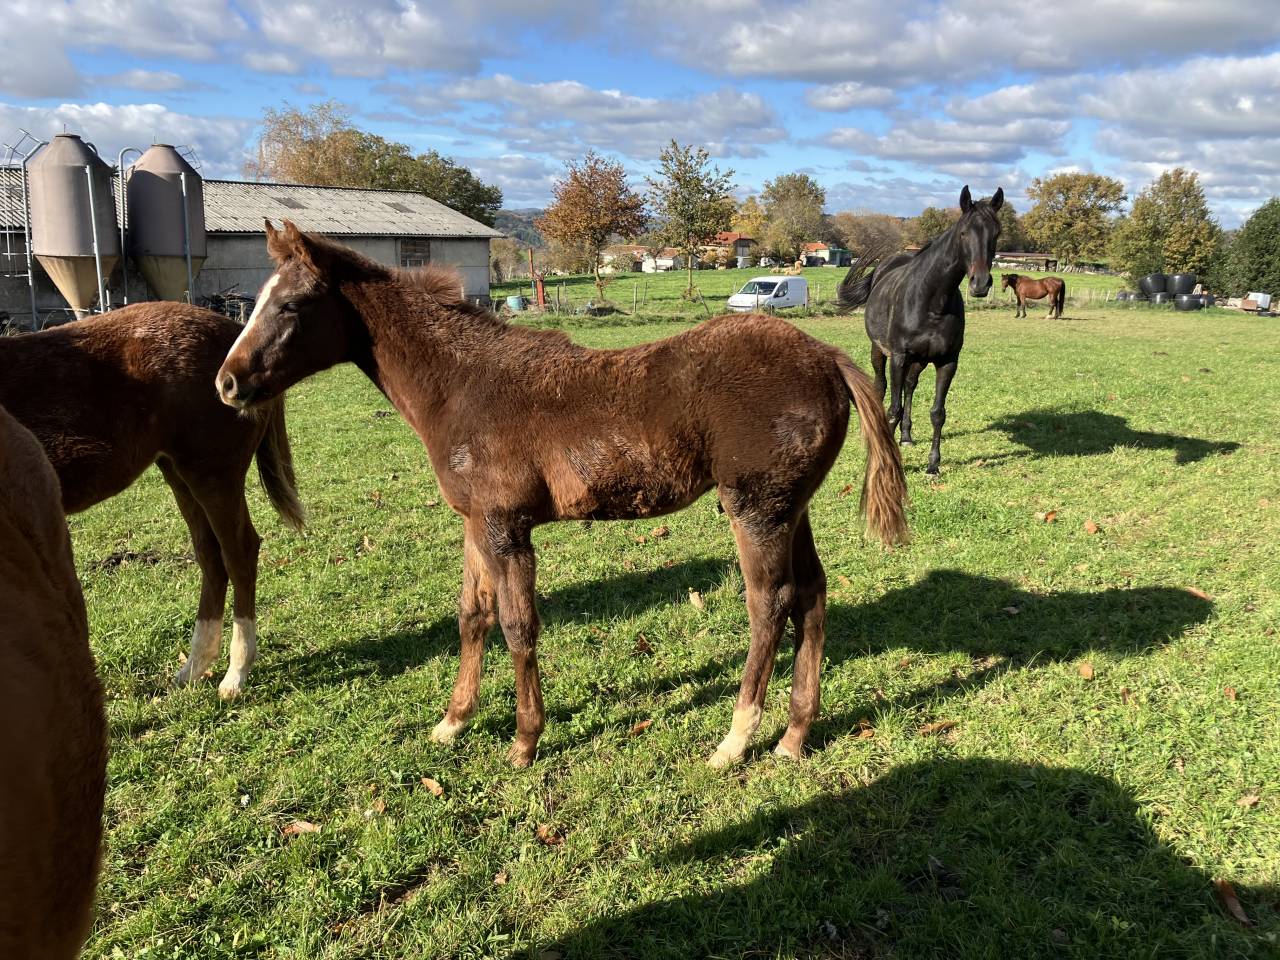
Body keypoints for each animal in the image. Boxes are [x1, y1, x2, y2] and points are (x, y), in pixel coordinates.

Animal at [0, 302, 305, 699]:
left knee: (238, 551)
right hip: (178, 473)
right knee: (210, 555)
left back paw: (235, 674)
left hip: (213, 476)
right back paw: (194, 667)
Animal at [216, 220, 908, 768]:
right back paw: (793, 737)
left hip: (756, 510)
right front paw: (452, 722)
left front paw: (525, 741)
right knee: (812, 596)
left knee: (770, 604)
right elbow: (472, 615)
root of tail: (827, 355)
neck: (463, 385)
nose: (227, 383)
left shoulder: (506, 527)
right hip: (792, 509)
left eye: (292, 305)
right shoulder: (475, 523)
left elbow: (518, 624)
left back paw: (735, 742)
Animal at [837, 185, 1004, 475]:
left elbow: (937, 413)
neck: (932, 301)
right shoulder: (899, 357)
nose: (980, 284)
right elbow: (893, 408)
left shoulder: (947, 361)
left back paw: (906, 436)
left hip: (919, 361)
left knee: (909, 387)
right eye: (964, 232)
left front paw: (933, 464)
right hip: (879, 351)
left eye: (996, 233)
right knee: (881, 388)